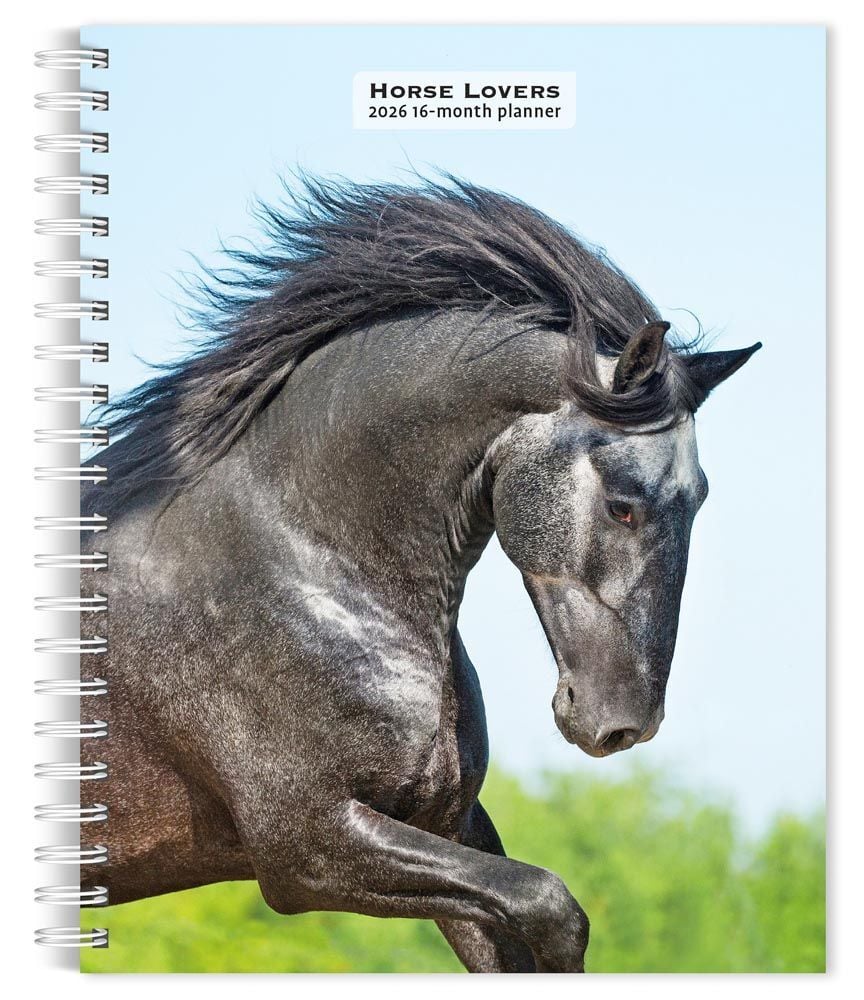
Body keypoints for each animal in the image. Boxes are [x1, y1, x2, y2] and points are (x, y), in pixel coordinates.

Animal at [81, 176, 759, 973]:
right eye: (624, 503)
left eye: (700, 497)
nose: (624, 724)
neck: (306, 561)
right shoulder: (307, 846)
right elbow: (552, 908)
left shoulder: (446, 824)